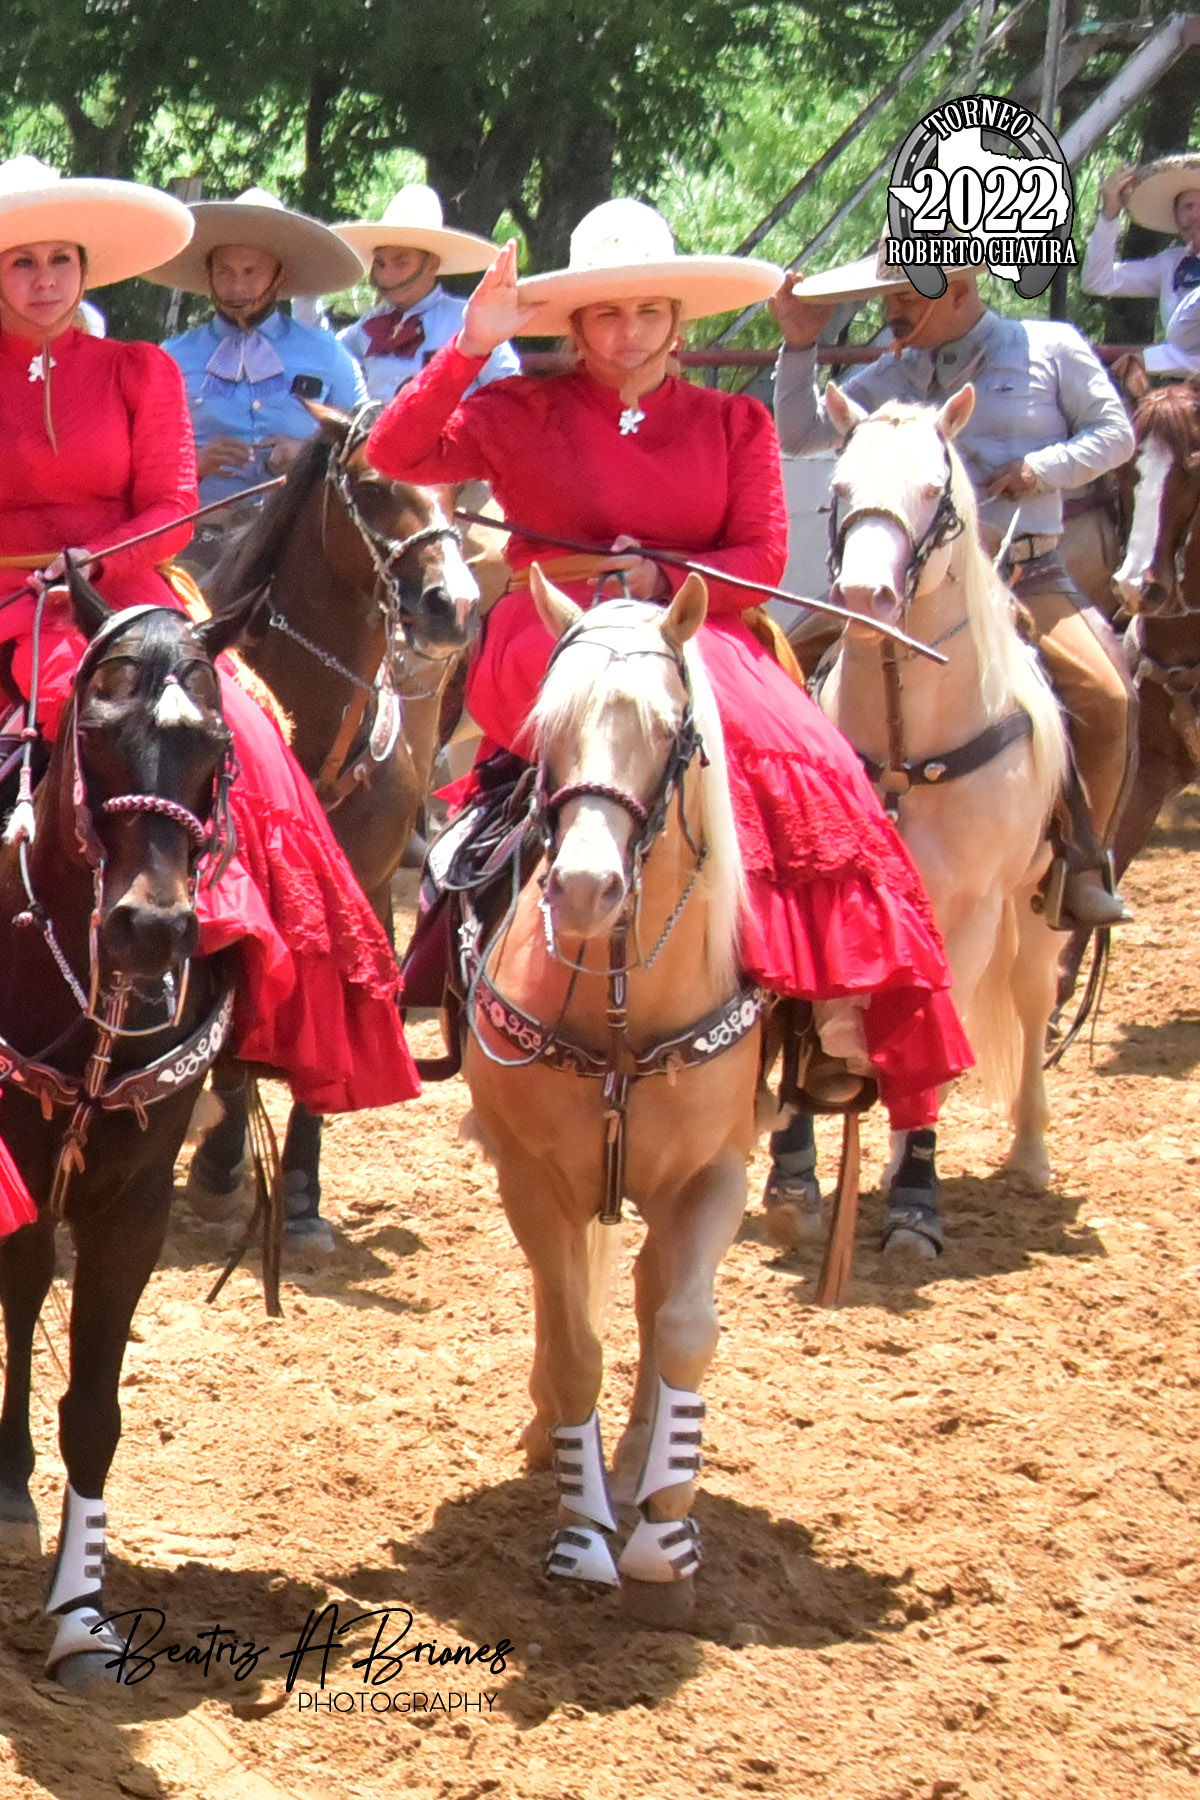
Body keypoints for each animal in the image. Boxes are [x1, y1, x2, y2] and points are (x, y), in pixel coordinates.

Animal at [189, 405, 478, 1239]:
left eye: (458, 488)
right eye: (374, 485)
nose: (453, 604)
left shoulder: (369, 890)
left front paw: (300, 1187)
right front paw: (220, 1165)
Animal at [460, 570, 762, 1625]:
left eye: (673, 727)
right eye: (550, 725)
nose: (587, 888)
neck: (627, 1007)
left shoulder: (715, 1177)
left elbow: (685, 1329)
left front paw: (664, 1527)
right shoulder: (531, 1180)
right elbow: (575, 1344)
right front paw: (584, 1531)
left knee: (653, 1293)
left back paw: (637, 1458)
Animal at [818, 385, 1068, 1252]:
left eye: (935, 491)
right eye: (839, 487)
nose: (867, 599)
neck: (909, 745)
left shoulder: (976, 908)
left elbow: (941, 1026)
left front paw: (915, 1198)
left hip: (1039, 909)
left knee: (1030, 1000)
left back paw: (1026, 1153)